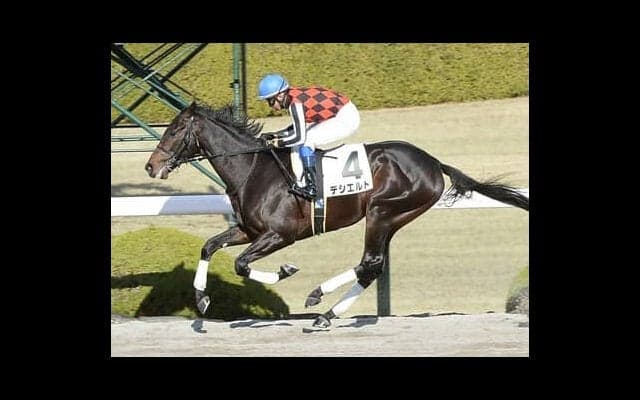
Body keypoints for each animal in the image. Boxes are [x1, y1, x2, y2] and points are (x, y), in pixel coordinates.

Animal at [144, 102, 529, 330]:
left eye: (174, 130)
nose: (151, 166)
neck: (253, 170)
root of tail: (433, 162)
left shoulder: (280, 234)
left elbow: (241, 264)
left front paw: (285, 271)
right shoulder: (248, 230)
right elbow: (209, 246)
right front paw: (201, 299)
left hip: (382, 210)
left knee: (370, 262)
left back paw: (318, 297)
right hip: (395, 217)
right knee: (372, 266)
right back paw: (325, 314)